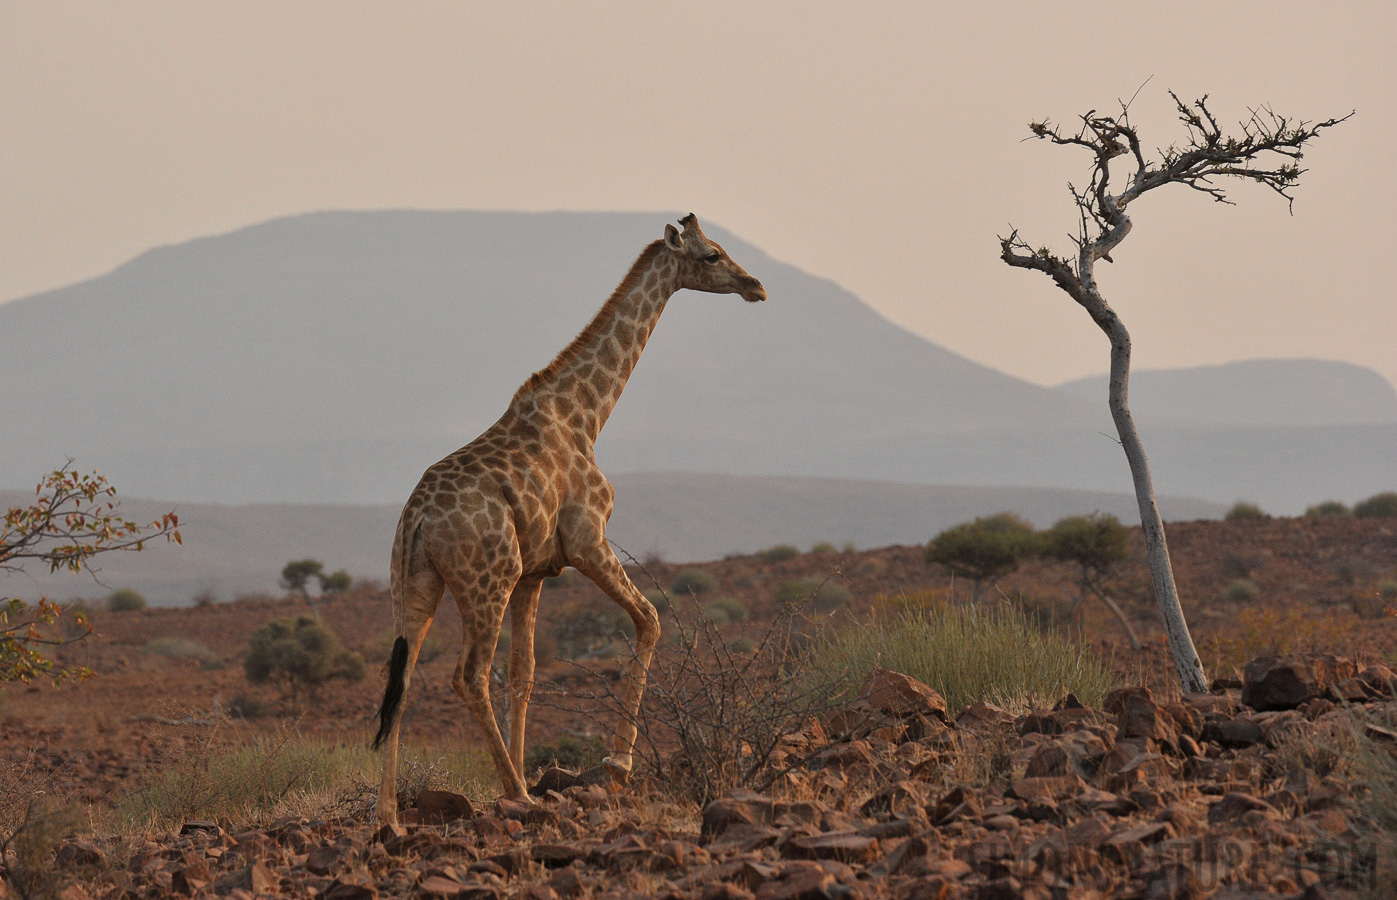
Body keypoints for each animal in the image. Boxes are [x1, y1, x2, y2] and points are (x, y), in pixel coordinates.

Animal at [374, 213, 765, 821]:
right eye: (712, 256)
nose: (756, 286)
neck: (587, 413)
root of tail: (417, 520)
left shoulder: (535, 573)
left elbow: (525, 675)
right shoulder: (587, 541)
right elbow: (650, 619)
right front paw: (617, 765)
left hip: (416, 584)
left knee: (404, 677)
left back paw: (390, 815)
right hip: (486, 580)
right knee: (468, 676)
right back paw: (515, 791)